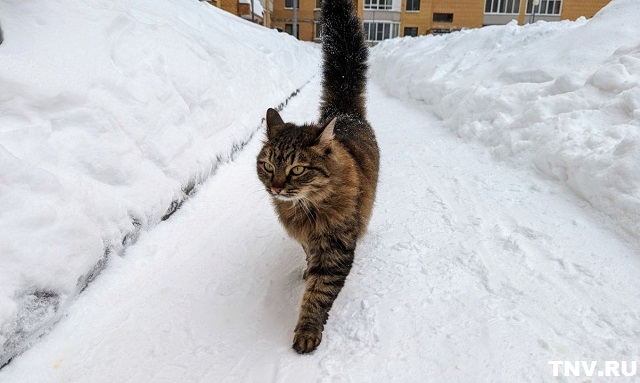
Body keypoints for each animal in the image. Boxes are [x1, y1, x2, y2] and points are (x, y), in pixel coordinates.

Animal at [255, 0, 378, 356]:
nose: (277, 187)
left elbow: (319, 293)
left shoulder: (336, 248)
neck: (305, 209)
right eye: (268, 166)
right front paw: (306, 270)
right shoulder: (308, 241)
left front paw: (307, 331)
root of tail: (344, 112)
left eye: (297, 169)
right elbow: (310, 263)